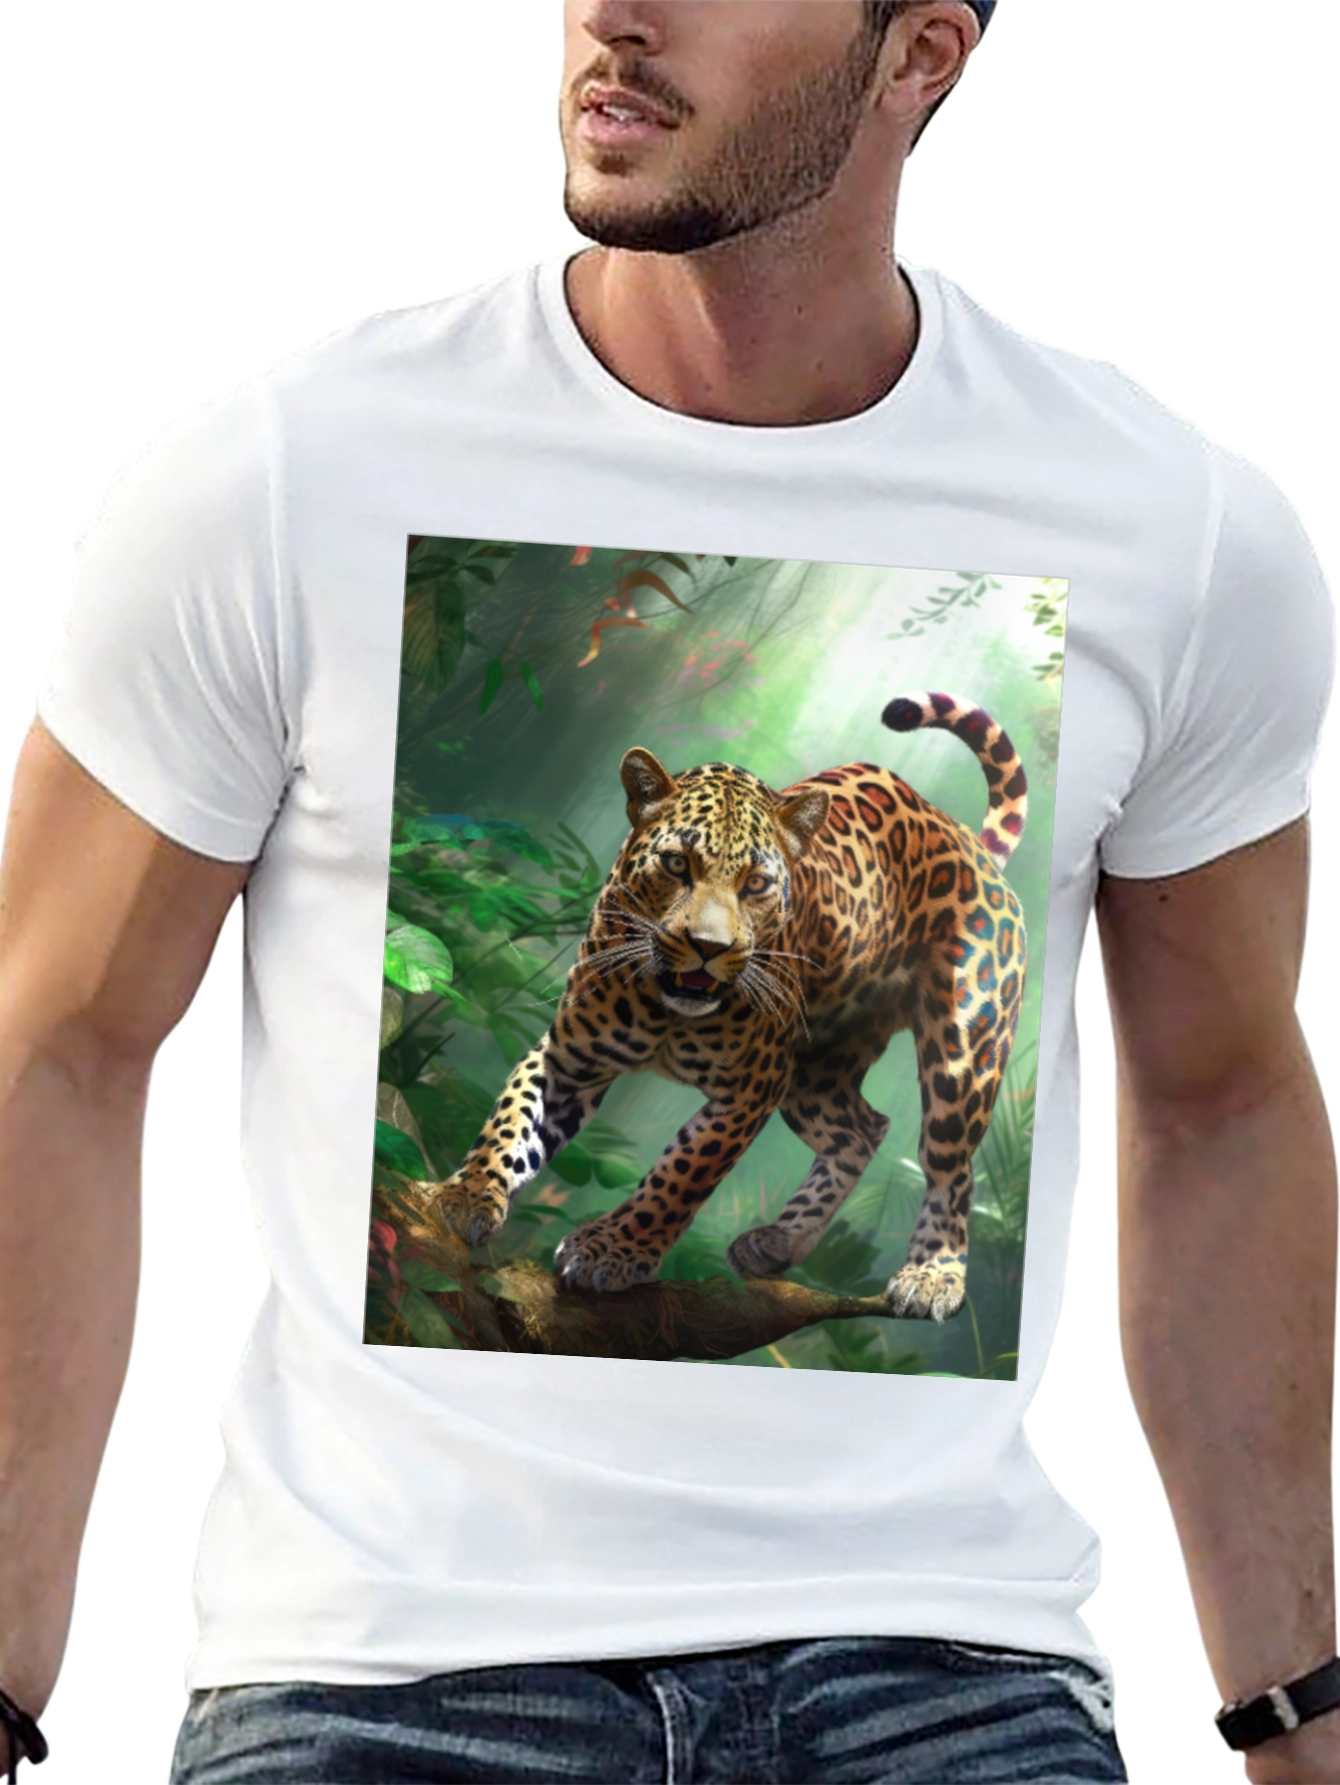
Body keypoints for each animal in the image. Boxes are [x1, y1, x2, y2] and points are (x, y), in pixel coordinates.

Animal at [430, 690, 1029, 1324]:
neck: (667, 1008)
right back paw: (779, 1242)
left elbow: (681, 1174)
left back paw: (932, 1275)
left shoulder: (749, 1089)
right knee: (863, 1128)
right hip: (815, 1069)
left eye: (757, 883)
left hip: (963, 1056)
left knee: (949, 1168)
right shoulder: (571, 1058)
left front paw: (612, 1249)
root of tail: (966, 840)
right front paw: (466, 1195)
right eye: (676, 865)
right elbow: (509, 1121)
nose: (708, 947)